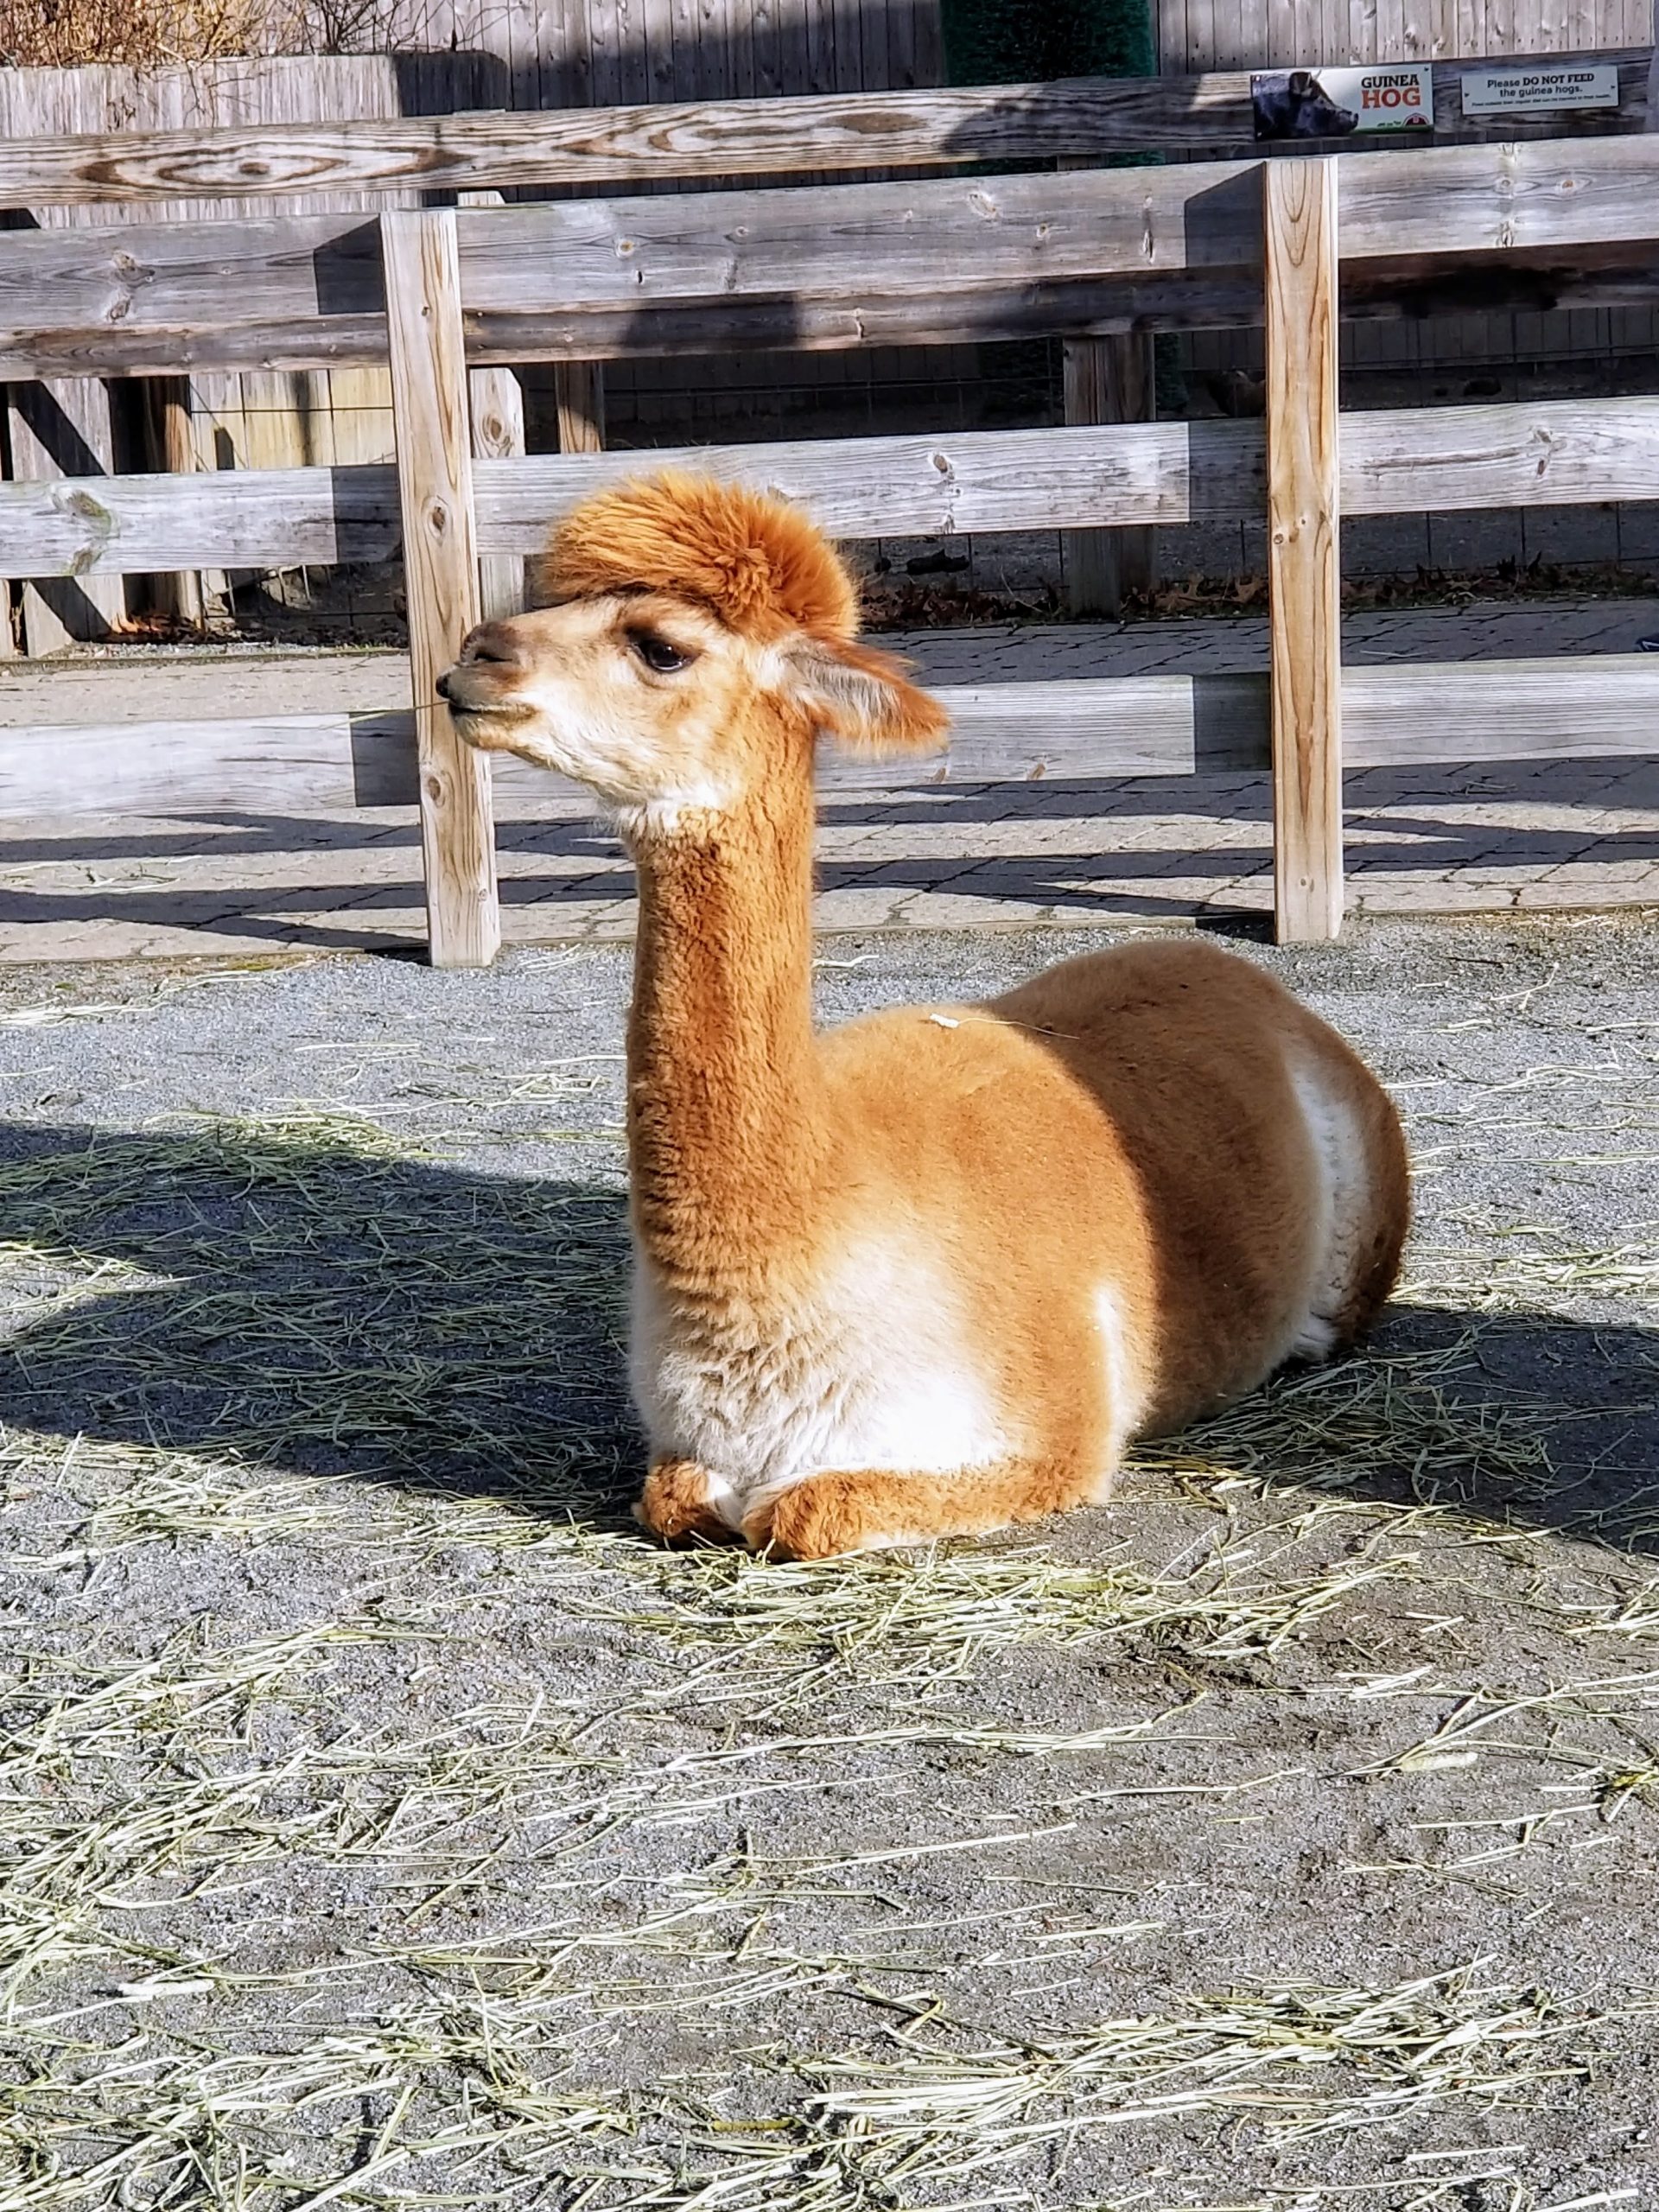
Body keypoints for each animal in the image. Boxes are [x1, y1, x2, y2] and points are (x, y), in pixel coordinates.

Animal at [438, 472, 1410, 1559]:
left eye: (660, 644)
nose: (476, 655)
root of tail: (1235, 969)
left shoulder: (1053, 1429)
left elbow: (801, 1510)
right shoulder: (681, 1446)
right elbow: (679, 1495)